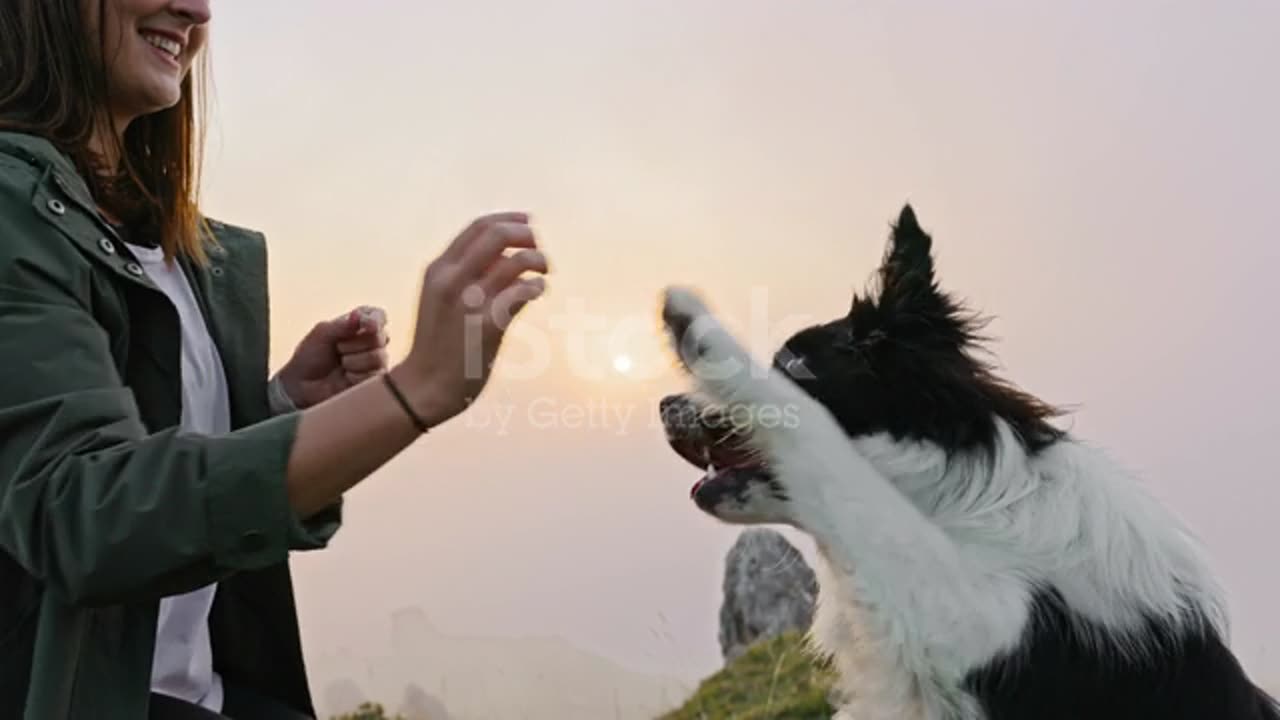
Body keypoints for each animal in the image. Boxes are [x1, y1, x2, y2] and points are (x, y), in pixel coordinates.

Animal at [660, 203, 1280, 717]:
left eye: (791, 366)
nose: (666, 405)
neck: (965, 506)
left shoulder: (975, 623)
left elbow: (828, 454)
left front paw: (695, 323)